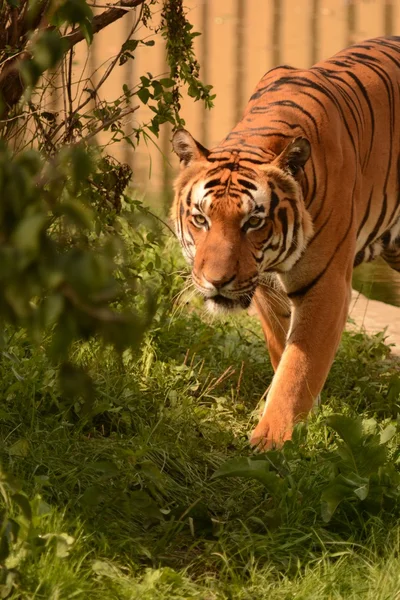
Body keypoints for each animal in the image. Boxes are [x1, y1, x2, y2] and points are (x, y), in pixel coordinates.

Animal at [170, 37, 400, 448]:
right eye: (201, 219)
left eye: (253, 222)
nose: (216, 282)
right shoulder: (266, 287)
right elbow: (283, 350)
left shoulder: (326, 285)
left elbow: (299, 365)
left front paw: (271, 438)